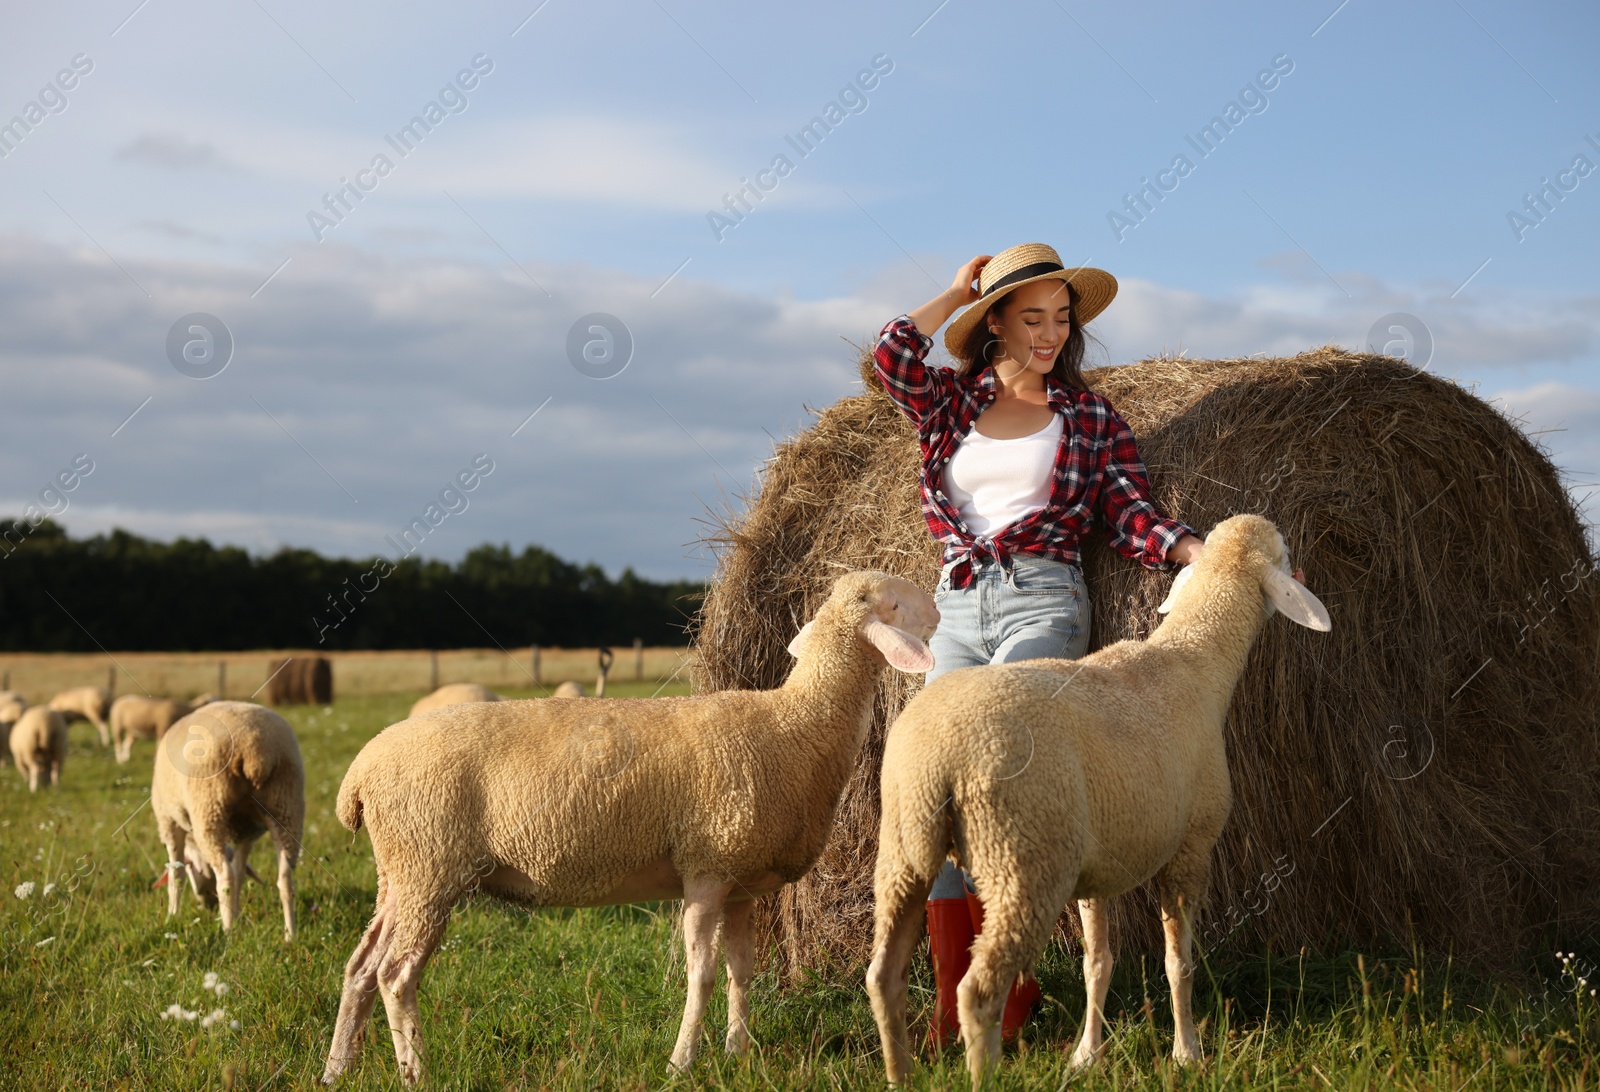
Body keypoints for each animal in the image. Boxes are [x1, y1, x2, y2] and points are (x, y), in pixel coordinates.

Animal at [153, 698, 308, 935]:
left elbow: (176, 874)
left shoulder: (169, 822)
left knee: (225, 876)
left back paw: (227, 931)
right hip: (286, 804)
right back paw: (290, 934)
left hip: (209, 809)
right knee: (285, 877)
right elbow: (240, 872)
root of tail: (254, 747)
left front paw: (172, 916)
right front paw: (236, 914)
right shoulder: (248, 831)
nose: (209, 905)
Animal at [321, 566, 934, 1082]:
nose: (938, 606)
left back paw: (338, 1068)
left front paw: (738, 1054)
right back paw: (417, 1071)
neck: (798, 725)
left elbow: (741, 971)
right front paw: (682, 1062)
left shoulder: (742, 884)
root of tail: (360, 772)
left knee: (359, 966)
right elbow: (702, 973)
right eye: (892, 600)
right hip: (431, 867)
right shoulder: (706, 869)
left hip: (401, 874)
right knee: (396, 974)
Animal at [870, 512, 1331, 1088]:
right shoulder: (1191, 849)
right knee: (977, 992)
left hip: (905, 847)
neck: (1193, 660)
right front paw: (1187, 1051)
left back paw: (900, 1074)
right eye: (1285, 553)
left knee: (884, 976)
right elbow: (1178, 962)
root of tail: (939, 756)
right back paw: (987, 1071)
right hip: (1024, 857)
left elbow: (1098, 963)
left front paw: (1087, 1055)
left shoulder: (1098, 868)